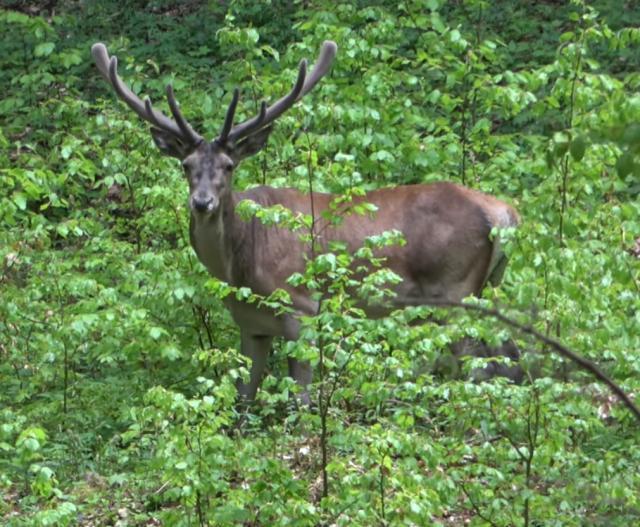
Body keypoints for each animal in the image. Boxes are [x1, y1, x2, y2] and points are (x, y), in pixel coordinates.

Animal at [90, 42, 520, 404]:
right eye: (186, 165)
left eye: (229, 166)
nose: (202, 202)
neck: (241, 265)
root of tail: (505, 214)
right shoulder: (251, 324)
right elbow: (244, 399)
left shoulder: (304, 307)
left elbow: (301, 397)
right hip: (488, 287)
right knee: (507, 356)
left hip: (454, 290)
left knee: (477, 364)